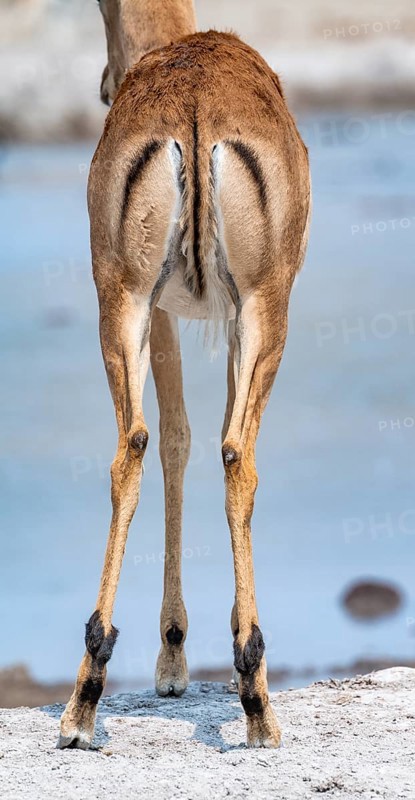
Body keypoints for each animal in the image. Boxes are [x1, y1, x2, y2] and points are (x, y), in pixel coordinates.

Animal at [58, 0, 311, 750]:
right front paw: (178, 657)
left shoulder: (164, 311)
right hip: (261, 310)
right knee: (236, 456)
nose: (103, 82)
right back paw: (256, 703)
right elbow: (189, 439)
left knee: (129, 449)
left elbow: (170, 439)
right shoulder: (213, 316)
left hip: (122, 302)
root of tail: (195, 105)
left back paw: (81, 705)